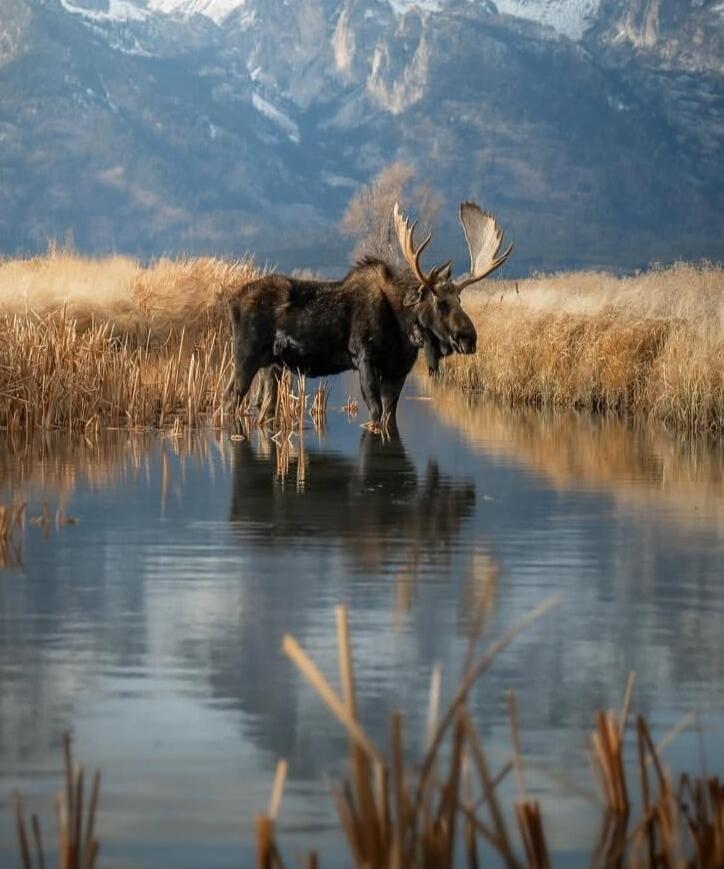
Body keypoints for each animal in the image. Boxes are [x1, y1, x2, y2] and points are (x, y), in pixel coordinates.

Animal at [226, 201, 512, 429]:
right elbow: (375, 414)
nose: (469, 338)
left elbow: (389, 417)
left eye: (459, 300)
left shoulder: (398, 371)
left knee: (264, 409)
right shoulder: (364, 358)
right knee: (229, 398)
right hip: (245, 357)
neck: (403, 330)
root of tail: (232, 300)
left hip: (271, 366)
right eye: (440, 302)